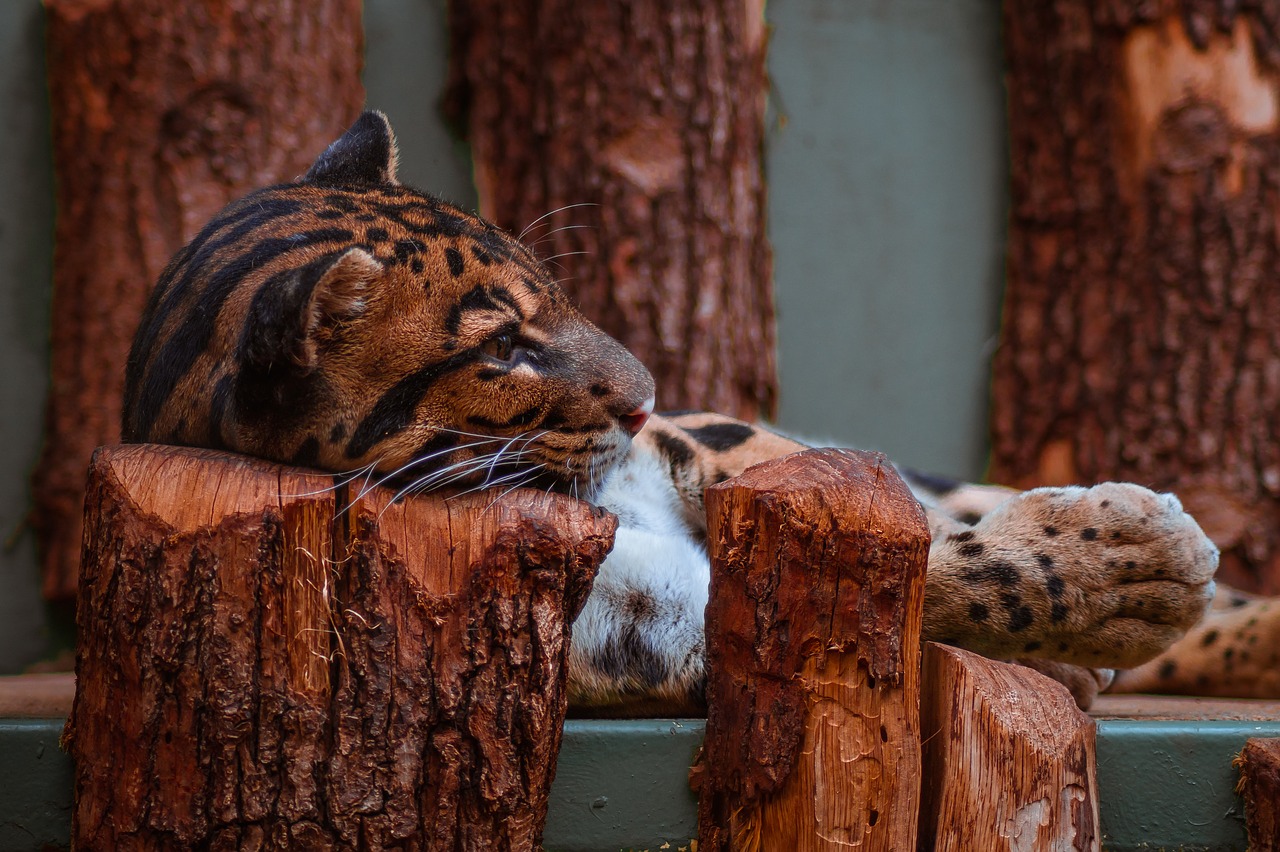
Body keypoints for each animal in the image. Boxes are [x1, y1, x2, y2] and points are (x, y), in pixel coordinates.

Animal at [122, 112, 1280, 711]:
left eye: (555, 294)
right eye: (502, 350)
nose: (642, 397)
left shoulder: (712, 442)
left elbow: (885, 519)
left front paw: (1116, 563)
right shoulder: (646, 633)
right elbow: (888, 580)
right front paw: (1124, 573)